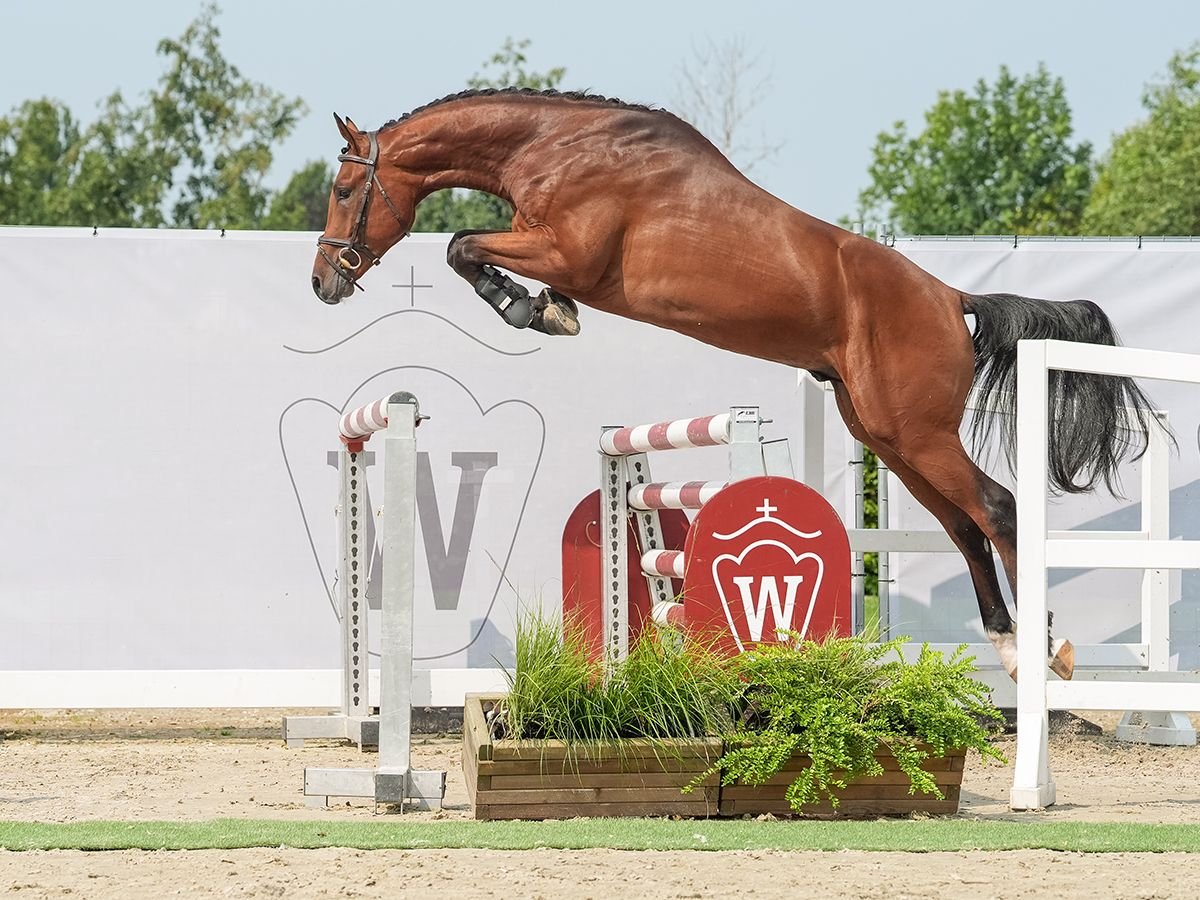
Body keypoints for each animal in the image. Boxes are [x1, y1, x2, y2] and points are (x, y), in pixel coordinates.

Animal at [314, 88, 1156, 681]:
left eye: (345, 191)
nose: (326, 280)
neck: (557, 147)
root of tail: (951, 298)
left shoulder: (564, 249)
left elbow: (462, 245)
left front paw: (536, 310)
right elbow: (464, 247)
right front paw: (541, 309)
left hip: (915, 433)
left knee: (998, 509)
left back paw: (1044, 651)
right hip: (886, 433)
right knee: (965, 526)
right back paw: (1011, 648)